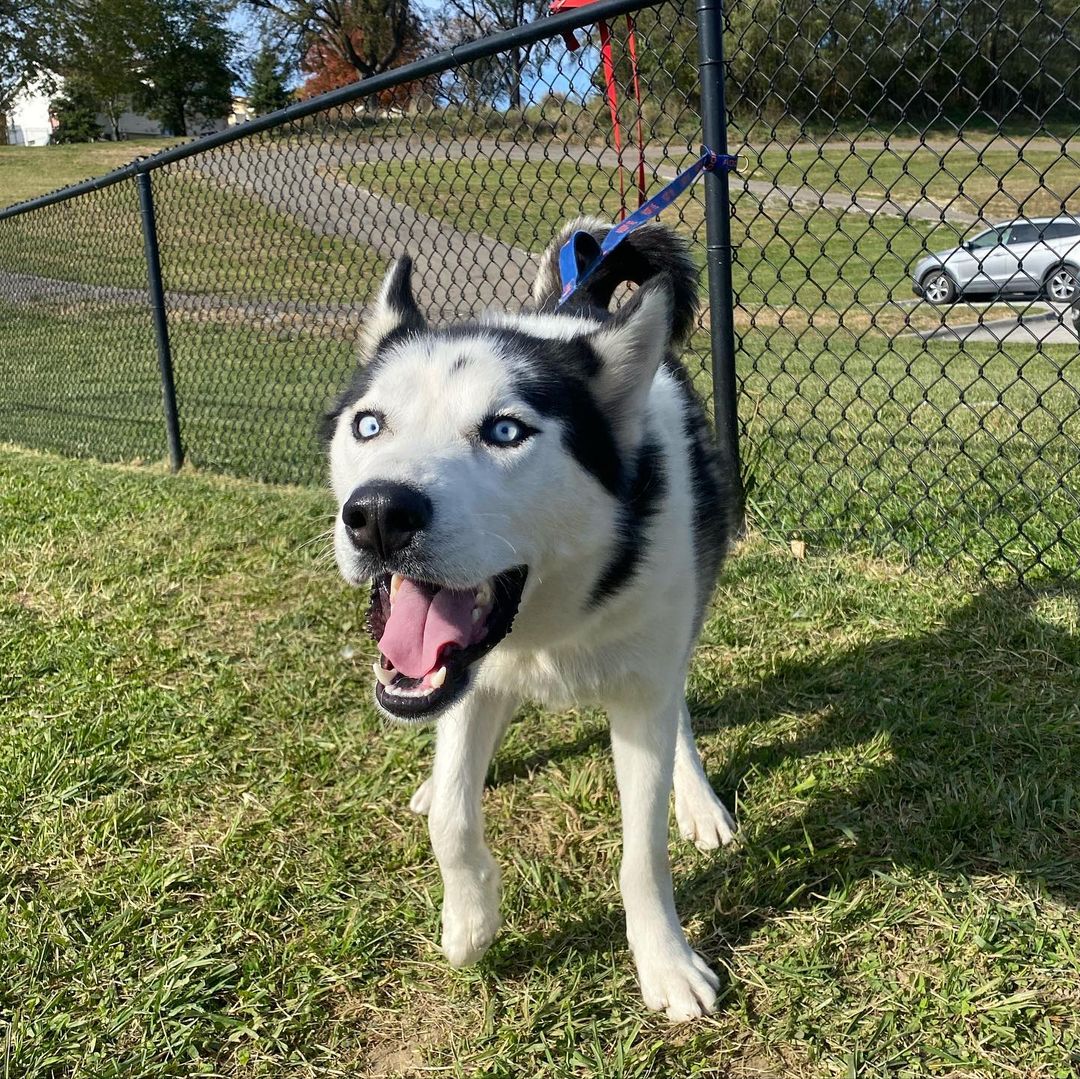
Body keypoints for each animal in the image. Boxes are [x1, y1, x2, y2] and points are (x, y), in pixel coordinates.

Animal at [324, 219, 738, 1019]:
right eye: (369, 424)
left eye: (506, 431)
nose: (379, 514)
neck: (548, 623)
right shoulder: (463, 682)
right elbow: (453, 818)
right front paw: (469, 924)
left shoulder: (641, 689)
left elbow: (642, 852)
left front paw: (666, 964)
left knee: (678, 708)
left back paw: (697, 798)